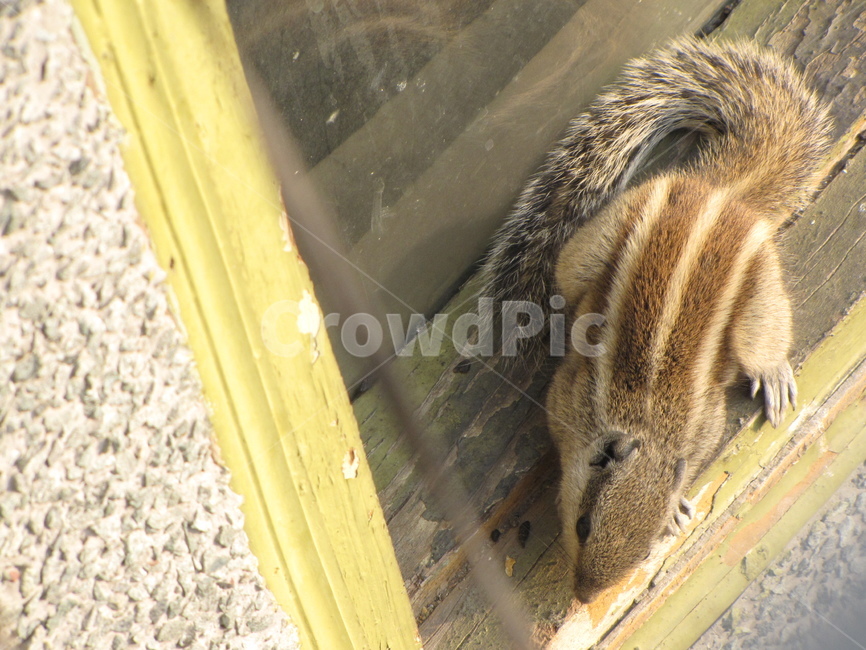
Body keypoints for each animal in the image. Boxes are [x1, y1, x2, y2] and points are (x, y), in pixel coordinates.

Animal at [479, 37, 831, 603]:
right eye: (582, 526)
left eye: (645, 550)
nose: (584, 597)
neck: (643, 425)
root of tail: (718, 190)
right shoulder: (567, 399)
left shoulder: (704, 422)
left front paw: (677, 507)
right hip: (590, 248)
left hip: (759, 289)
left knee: (761, 339)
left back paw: (773, 372)